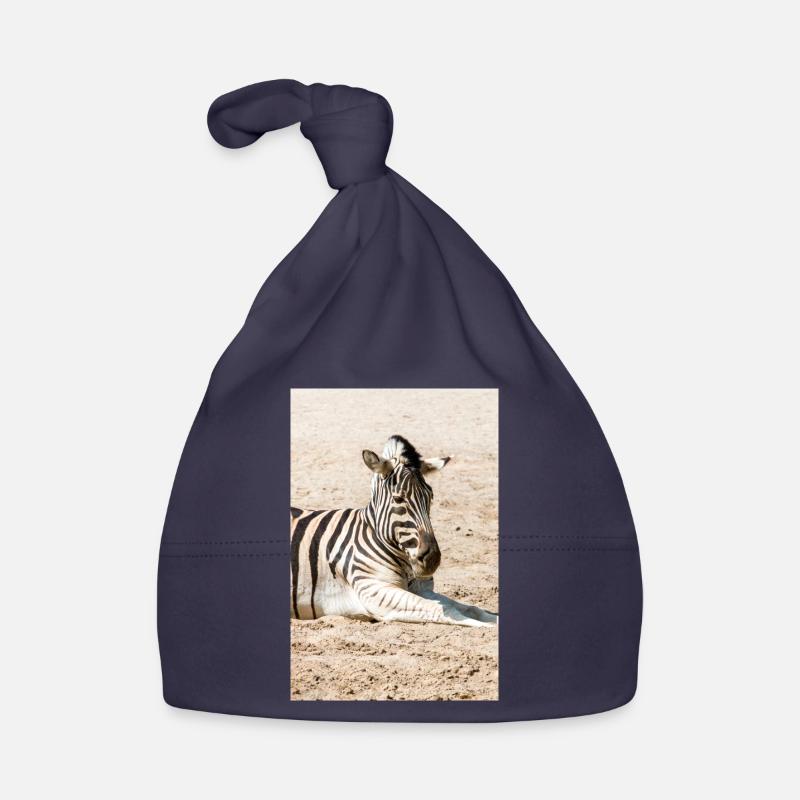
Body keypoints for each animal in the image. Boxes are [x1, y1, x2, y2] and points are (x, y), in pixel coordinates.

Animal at [290, 435, 498, 627]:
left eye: (430, 497)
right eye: (398, 499)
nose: (432, 559)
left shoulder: (423, 589)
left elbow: (471, 608)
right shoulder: (374, 591)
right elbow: (444, 609)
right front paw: (488, 627)